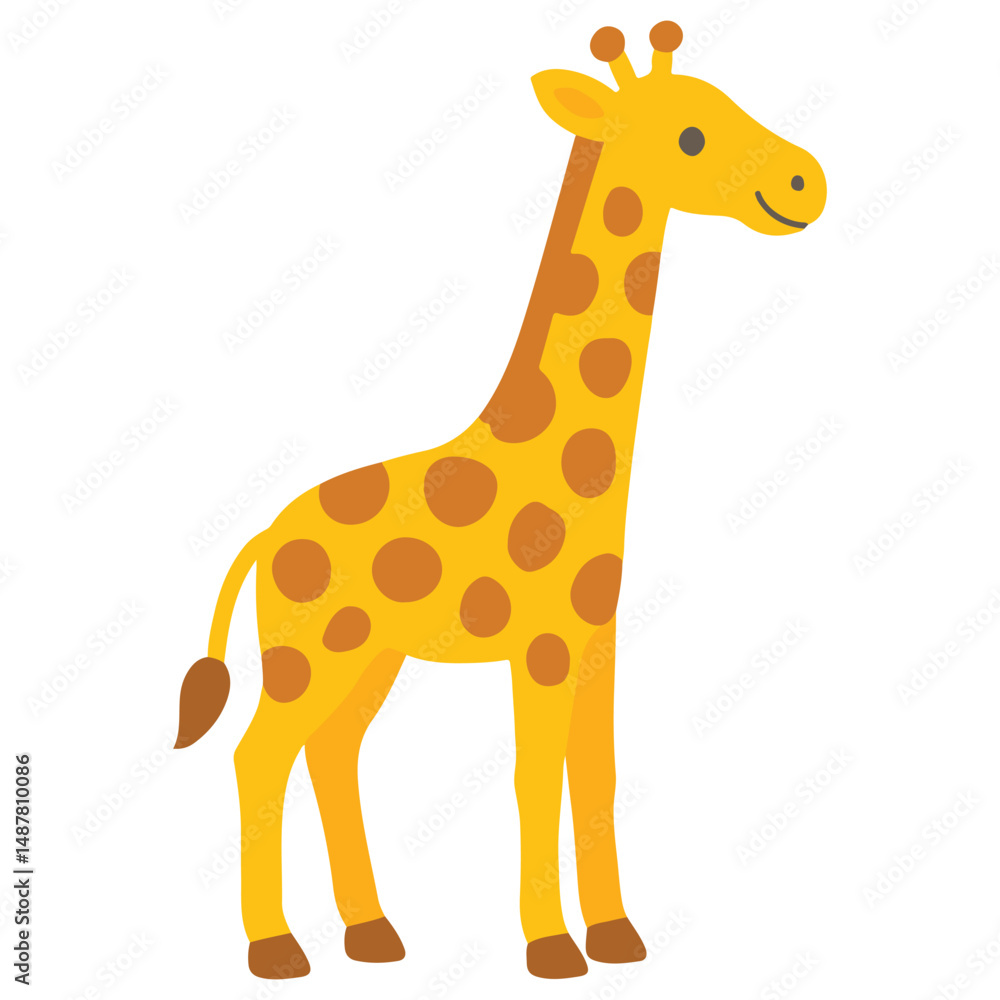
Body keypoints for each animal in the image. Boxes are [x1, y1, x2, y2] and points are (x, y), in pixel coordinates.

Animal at [174, 21, 826, 981]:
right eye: (690, 136)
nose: (805, 181)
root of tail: (261, 536)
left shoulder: (597, 641)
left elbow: (596, 777)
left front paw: (618, 936)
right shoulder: (544, 648)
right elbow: (533, 777)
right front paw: (552, 948)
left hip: (369, 657)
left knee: (334, 753)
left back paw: (372, 935)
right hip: (307, 656)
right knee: (260, 756)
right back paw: (276, 949)